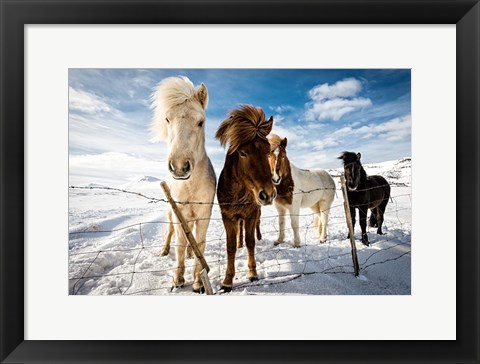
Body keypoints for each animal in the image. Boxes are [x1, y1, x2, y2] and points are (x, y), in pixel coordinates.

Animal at [151, 77, 217, 292]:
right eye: (167, 119)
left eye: (200, 122)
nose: (179, 167)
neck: (190, 186)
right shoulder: (179, 212)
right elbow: (179, 243)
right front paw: (178, 279)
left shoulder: (204, 215)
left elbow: (200, 243)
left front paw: (198, 282)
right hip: (171, 213)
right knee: (171, 232)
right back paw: (164, 251)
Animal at [216, 105, 276, 292]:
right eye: (242, 153)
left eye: (268, 151)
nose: (268, 194)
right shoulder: (227, 217)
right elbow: (230, 247)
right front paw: (227, 281)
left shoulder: (250, 214)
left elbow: (251, 242)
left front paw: (252, 273)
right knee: (239, 231)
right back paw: (239, 243)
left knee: (256, 227)